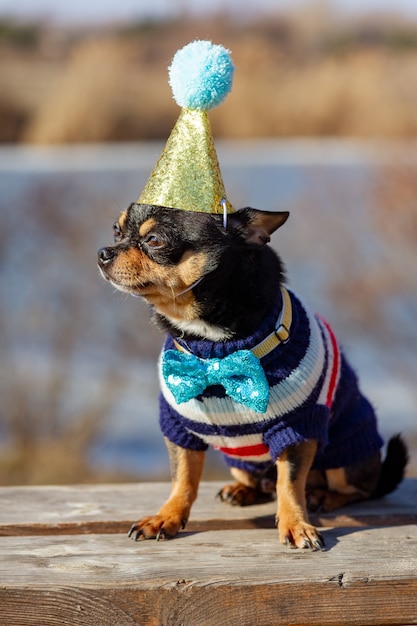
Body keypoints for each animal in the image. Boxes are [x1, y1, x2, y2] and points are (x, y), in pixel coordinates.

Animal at [97, 202, 406, 548]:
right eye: (116, 231)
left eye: (154, 240)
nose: (103, 252)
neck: (213, 344)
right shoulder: (181, 426)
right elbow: (183, 478)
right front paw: (167, 516)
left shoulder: (297, 427)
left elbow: (290, 483)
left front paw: (296, 524)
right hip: (241, 463)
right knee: (265, 484)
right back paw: (244, 491)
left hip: (346, 458)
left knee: (355, 489)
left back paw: (323, 497)